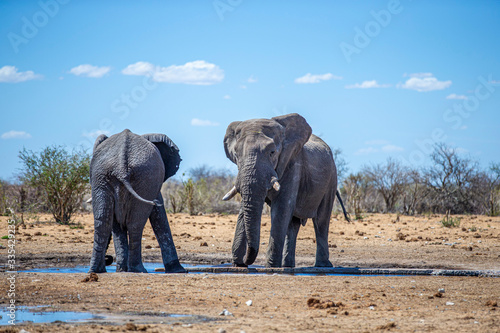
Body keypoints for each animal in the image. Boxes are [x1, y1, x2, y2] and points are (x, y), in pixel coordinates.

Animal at [89, 127, 185, 272]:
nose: (108, 259)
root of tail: (121, 164)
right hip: (107, 176)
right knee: (112, 221)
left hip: (137, 178)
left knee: (122, 222)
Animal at [221, 112, 350, 268]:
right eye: (236, 154)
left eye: (272, 152)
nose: (246, 260)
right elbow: (245, 207)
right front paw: (238, 265)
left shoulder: (292, 163)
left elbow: (281, 207)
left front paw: (271, 266)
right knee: (293, 224)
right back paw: (288, 265)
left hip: (331, 178)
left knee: (321, 220)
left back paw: (322, 265)